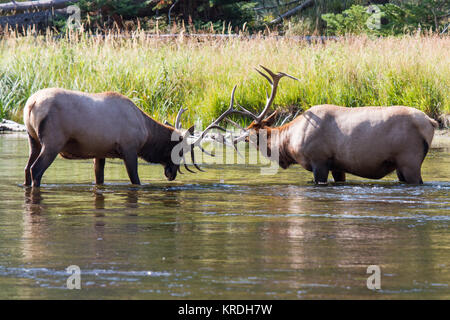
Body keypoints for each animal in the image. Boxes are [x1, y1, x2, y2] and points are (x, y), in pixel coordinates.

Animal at [23, 87, 207, 188]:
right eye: (180, 152)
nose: (171, 174)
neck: (146, 133)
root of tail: (31, 104)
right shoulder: (129, 149)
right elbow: (135, 180)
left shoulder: (99, 152)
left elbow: (99, 179)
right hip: (53, 142)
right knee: (35, 169)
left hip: (33, 140)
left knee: (26, 168)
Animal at [203, 65, 436, 185]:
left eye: (248, 135)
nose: (231, 139)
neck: (290, 142)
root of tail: (431, 122)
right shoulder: (338, 166)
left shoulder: (320, 161)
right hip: (401, 166)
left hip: (409, 160)